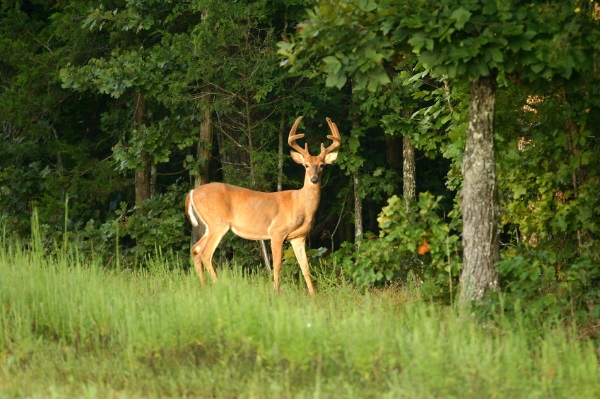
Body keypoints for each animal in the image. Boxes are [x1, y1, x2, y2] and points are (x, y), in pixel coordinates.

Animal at [185, 116, 340, 296]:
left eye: (322, 165)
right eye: (306, 165)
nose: (314, 179)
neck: (300, 204)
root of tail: (192, 192)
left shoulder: (298, 237)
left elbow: (305, 266)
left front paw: (313, 295)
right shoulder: (277, 232)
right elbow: (277, 265)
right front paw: (277, 293)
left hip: (210, 225)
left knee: (195, 249)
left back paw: (203, 288)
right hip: (218, 223)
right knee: (205, 253)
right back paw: (217, 286)